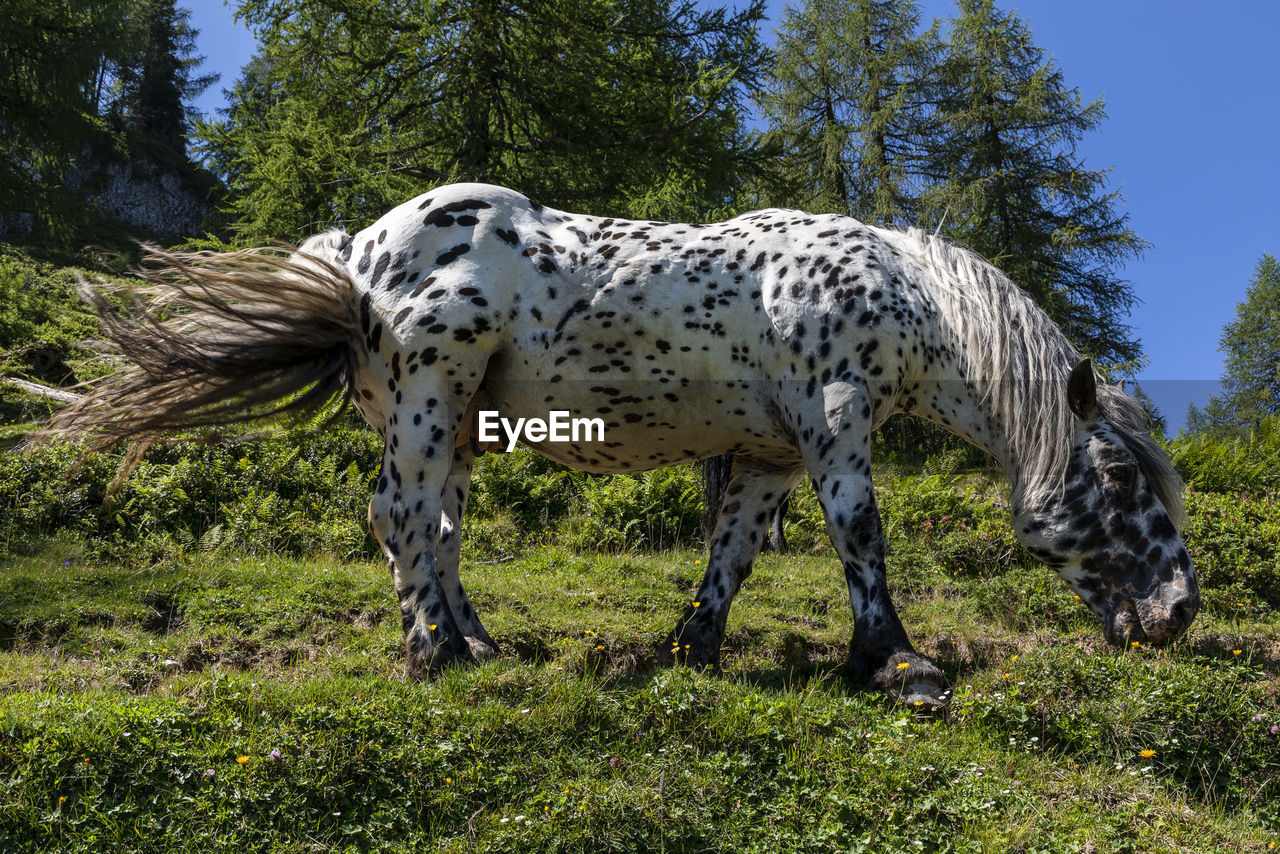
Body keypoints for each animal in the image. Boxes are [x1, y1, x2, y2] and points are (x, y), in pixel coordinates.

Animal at [42, 184, 1198, 706]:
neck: (888, 287)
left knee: (440, 530)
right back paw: (428, 652)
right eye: (1114, 475)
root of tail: (355, 251)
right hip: (429, 393)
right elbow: (860, 536)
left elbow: (733, 552)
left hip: (459, 422)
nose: (1180, 611)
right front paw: (897, 660)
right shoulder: (832, 419)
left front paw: (696, 645)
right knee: (400, 516)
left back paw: (474, 641)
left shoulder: (772, 453)